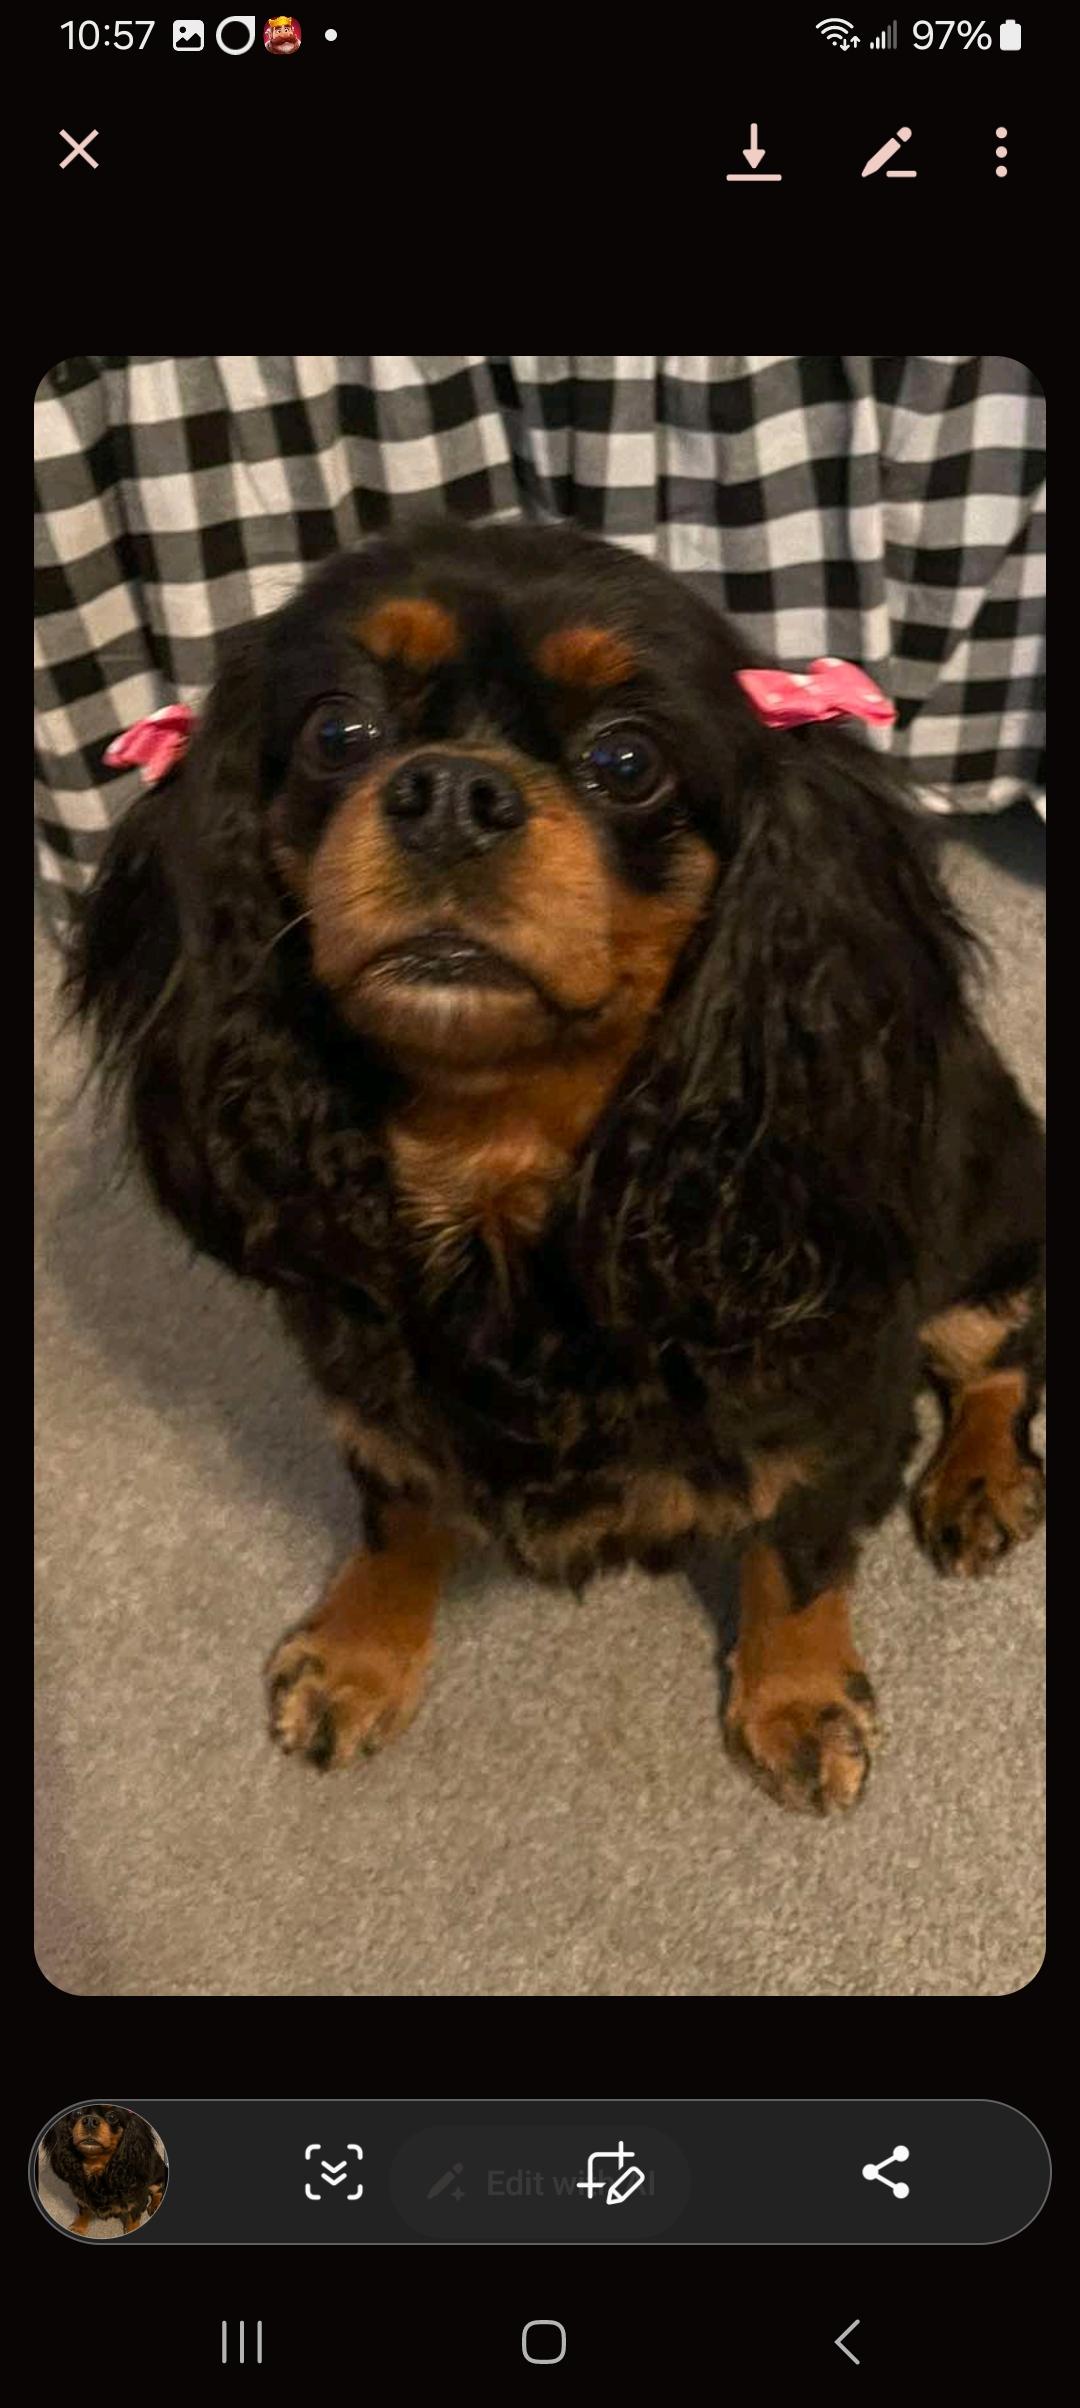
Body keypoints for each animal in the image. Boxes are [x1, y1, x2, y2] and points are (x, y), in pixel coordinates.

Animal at [69, 520, 1045, 1813]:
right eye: (339, 731)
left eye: (626, 760)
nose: (449, 792)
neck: (498, 1155)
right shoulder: (375, 1390)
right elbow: (394, 1512)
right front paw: (358, 1653)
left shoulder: (841, 1414)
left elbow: (796, 1561)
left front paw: (796, 1700)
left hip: (995, 1221)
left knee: (1003, 1354)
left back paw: (979, 1483)